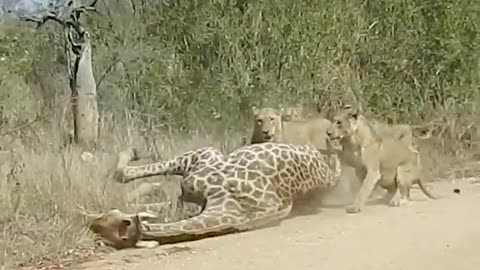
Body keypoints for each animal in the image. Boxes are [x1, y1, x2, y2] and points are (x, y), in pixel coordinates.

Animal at [83, 142, 344, 250]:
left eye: (105, 219)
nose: (89, 224)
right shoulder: (189, 196)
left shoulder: (203, 156)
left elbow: (123, 173)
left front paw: (132, 154)